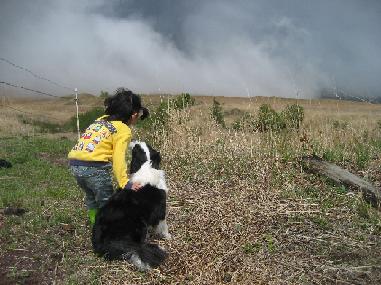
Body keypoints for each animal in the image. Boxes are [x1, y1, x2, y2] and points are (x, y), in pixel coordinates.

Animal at [92, 141, 169, 270]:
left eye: (146, 146)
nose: (136, 142)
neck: (145, 166)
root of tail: (105, 242)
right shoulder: (160, 210)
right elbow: (163, 227)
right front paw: (168, 237)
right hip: (140, 226)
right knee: (136, 250)